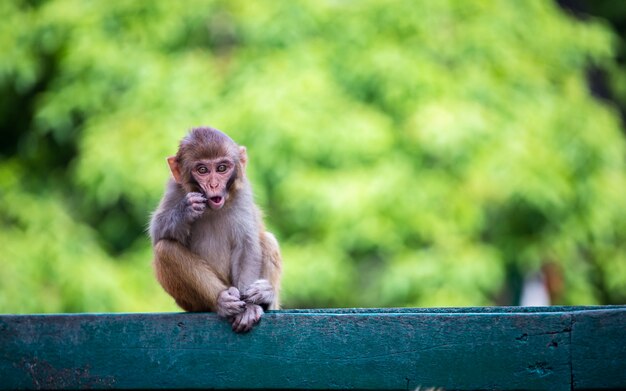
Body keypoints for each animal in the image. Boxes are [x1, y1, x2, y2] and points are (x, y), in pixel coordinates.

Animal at [149, 127, 280, 332]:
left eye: (221, 168)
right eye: (202, 170)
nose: (213, 185)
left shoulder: (242, 193)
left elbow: (247, 246)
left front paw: (249, 308)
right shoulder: (174, 188)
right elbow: (156, 232)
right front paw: (185, 210)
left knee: (267, 239)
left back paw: (265, 297)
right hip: (190, 302)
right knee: (165, 249)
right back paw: (222, 301)